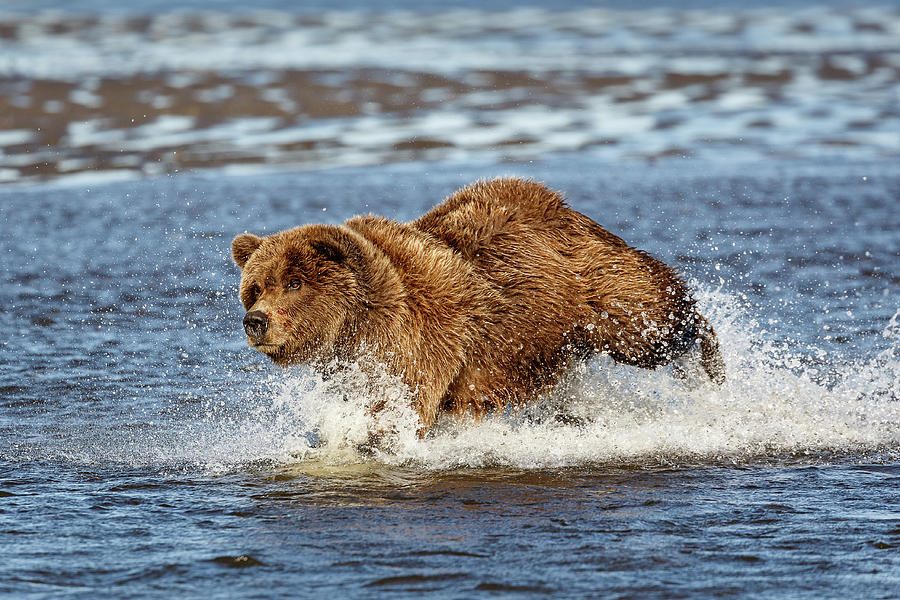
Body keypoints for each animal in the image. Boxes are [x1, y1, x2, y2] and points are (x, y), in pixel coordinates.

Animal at [232, 178, 724, 436]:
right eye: (255, 287)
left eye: (293, 283)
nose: (255, 321)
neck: (355, 326)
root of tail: (566, 208)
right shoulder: (352, 364)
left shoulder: (416, 341)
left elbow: (398, 408)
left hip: (597, 291)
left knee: (653, 322)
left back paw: (710, 363)